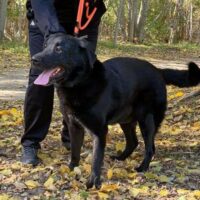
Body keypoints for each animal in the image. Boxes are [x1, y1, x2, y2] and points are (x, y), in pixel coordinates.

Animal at [32, 33, 200, 188]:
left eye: (59, 49)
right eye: (44, 46)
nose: (34, 59)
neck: (80, 83)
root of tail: (158, 70)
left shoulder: (99, 131)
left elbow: (96, 159)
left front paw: (93, 183)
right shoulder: (74, 126)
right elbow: (74, 151)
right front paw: (71, 169)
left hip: (147, 121)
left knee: (150, 148)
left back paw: (142, 168)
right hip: (126, 121)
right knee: (133, 142)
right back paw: (121, 158)